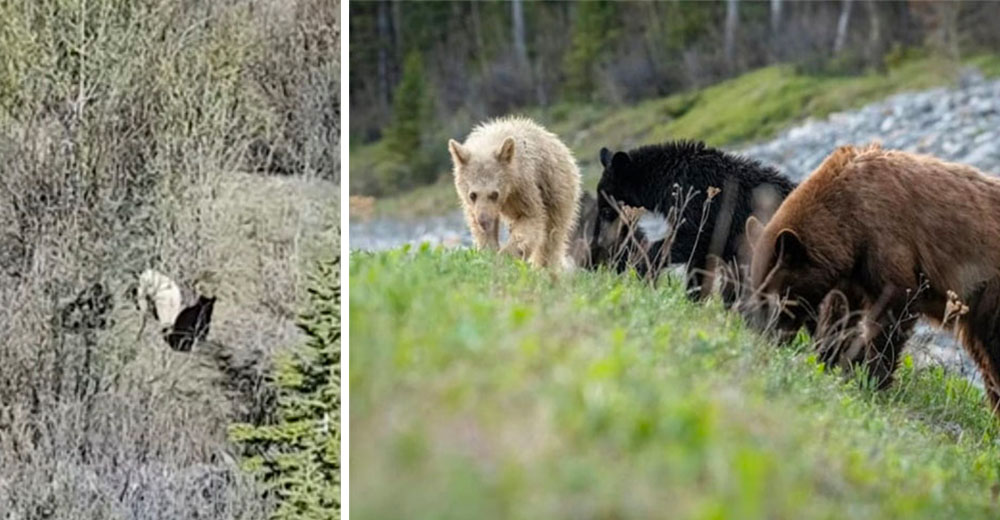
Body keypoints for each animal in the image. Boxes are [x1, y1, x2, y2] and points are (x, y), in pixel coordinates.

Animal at [450, 116, 584, 270]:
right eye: (472, 195)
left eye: (494, 194)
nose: (484, 221)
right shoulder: (475, 207)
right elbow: (481, 229)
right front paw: (488, 252)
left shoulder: (524, 186)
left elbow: (531, 217)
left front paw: (506, 256)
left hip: (557, 188)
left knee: (553, 233)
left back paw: (545, 266)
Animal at [744, 143, 1000, 418]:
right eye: (757, 292)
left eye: (779, 297)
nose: (766, 335)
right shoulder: (851, 274)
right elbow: (840, 314)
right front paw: (828, 359)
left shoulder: (886, 237)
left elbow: (893, 309)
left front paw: (873, 379)